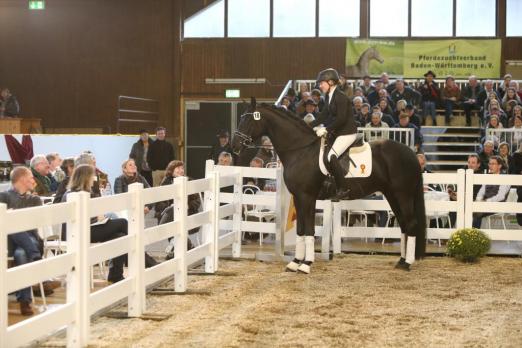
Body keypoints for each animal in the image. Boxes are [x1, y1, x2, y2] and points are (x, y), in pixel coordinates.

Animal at [234, 98, 424, 272]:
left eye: (248, 119)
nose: (234, 147)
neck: (300, 151)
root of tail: (410, 153)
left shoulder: (307, 197)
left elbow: (309, 229)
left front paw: (306, 264)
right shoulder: (298, 197)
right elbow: (300, 229)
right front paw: (295, 262)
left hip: (403, 195)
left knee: (411, 223)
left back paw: (407, 263)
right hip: (392, 194)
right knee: (404, 224)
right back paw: (401, 261)